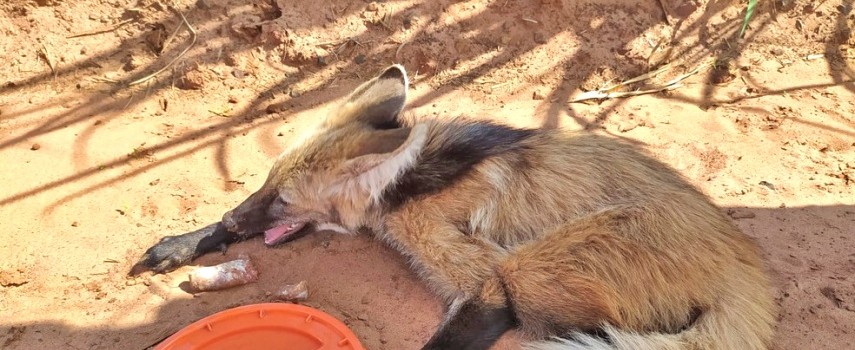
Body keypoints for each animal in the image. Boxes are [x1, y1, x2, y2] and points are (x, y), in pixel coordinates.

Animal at [130, 64, 780, 348]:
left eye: (282, 200)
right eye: (262, 187)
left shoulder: (485, 280)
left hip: (535, 265)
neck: (410, 184)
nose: (241, 218)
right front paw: (186, 243)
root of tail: (746, 263)